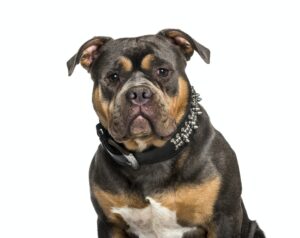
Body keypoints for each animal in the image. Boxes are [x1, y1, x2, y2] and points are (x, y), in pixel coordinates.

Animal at [67, 28, 264, 237]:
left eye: (163, 71)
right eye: (113, 76)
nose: (138, 93)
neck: (150, 156)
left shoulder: (224, 218)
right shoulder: (110, 223)